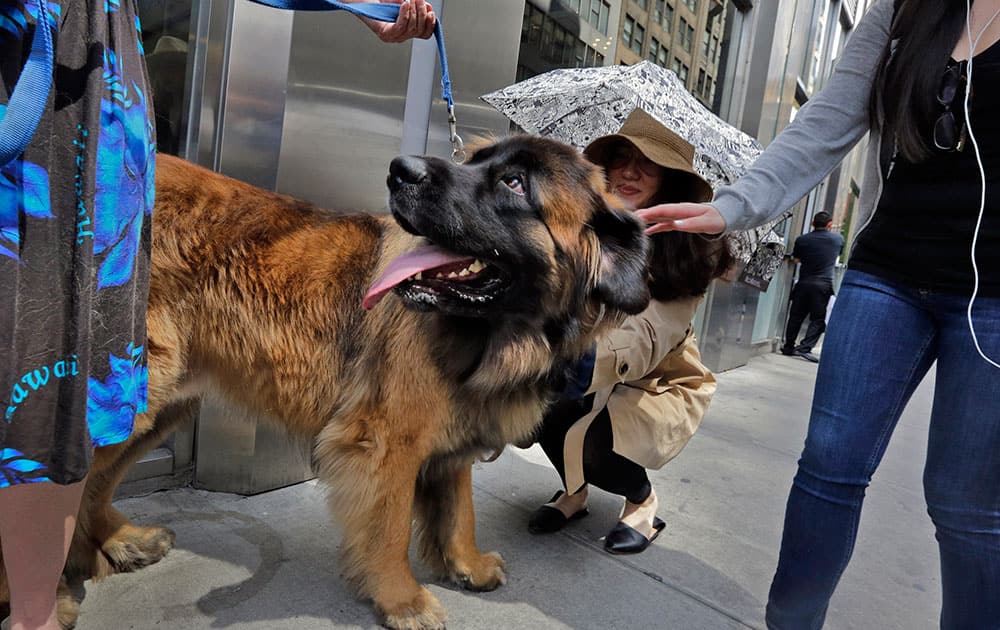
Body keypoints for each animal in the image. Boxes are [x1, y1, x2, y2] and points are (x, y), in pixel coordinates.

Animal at [0, 136, 648, 628]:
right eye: (473, 161)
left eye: (514, 183)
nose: (400, 169)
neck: (495, 335)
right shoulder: (385, 441)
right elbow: (390, 526)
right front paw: (403, 599)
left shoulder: (452, 430)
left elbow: (458, 507)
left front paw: (466, 564)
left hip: (158, 402)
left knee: (93, 480)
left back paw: (112, 543)